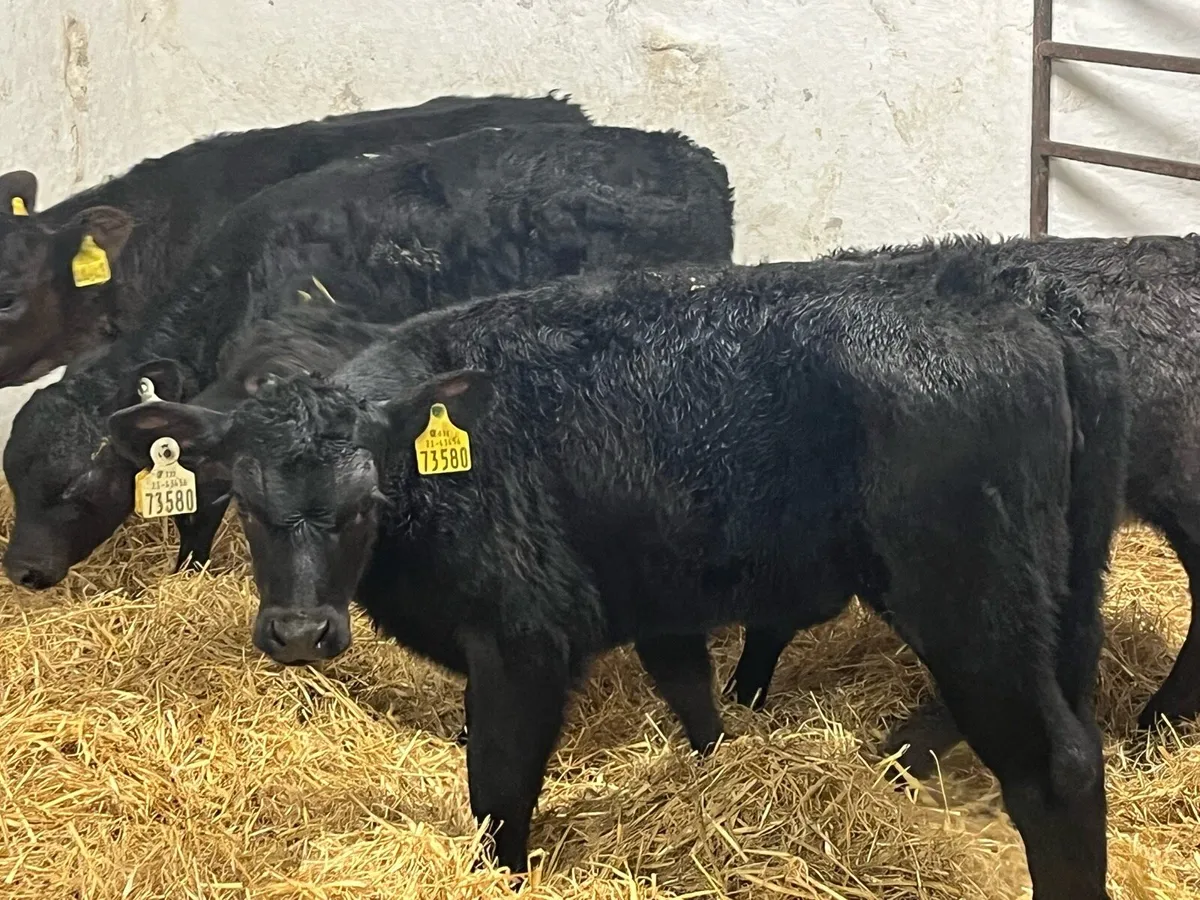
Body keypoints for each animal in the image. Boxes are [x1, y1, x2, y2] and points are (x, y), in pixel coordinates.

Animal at [104, 255, 1127, 898]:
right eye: (245, 500)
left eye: (364, 503)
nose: (299, 634)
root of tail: (1012, 301)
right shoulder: (653, 600)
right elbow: (693, 700)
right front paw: (720, 775)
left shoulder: (522, 637)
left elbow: (499, 787)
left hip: (967, 590)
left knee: (1058, 767)